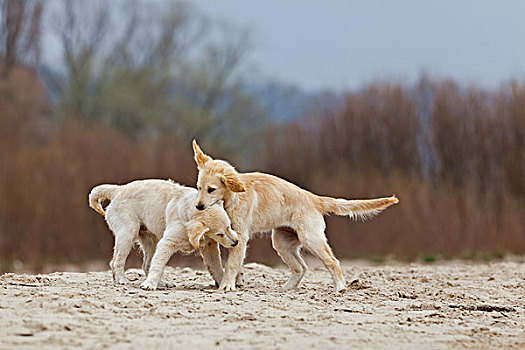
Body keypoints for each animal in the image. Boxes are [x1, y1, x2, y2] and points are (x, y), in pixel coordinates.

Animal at [88, 179, 239, 288]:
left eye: (229, 226)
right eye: (220, 234)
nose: (236, 243)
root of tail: (118, 189)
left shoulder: (209, 246)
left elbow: (216, 266)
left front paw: (224, 283)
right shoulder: (167, 242)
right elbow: (158, 264)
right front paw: (149, 285)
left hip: (150, 239)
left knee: (147, 264)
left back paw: (162, 283)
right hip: (127, 232)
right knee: (116, 261)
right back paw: (122, 280)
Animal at [192, 140, 398, 292]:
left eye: (211, 189)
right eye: (199, 188)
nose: (198, 206)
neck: (232, 198)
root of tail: (314, 198)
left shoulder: (240, 237)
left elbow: (232, 263)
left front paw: (227, 285)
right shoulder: (229, 238)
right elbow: (231, 263)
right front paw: (235, 281)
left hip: (311, 238)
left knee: (333, 261)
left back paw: (340, 287)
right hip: (282, 241)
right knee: (301, 267)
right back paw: (287, 288)